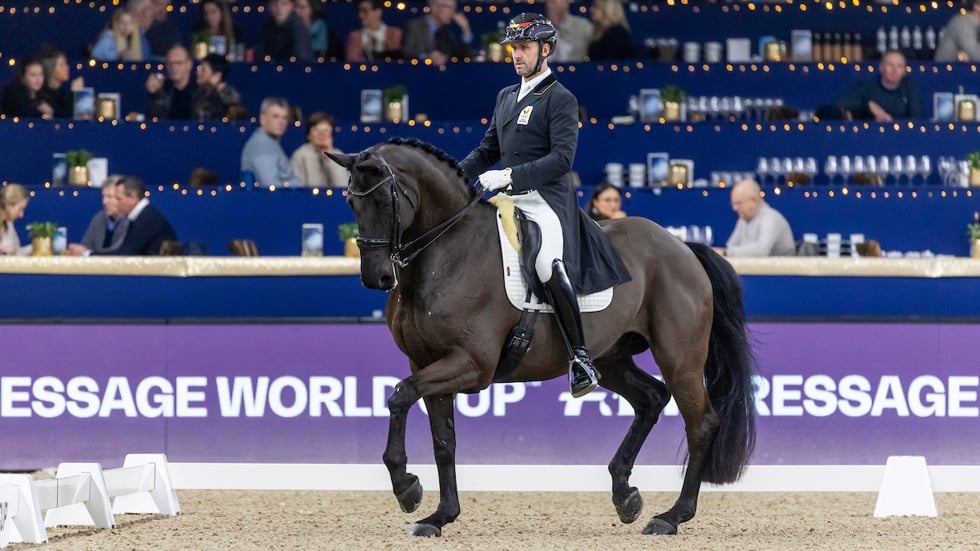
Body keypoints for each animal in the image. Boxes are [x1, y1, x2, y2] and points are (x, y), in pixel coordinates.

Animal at [326, 138, 756, 540]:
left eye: (383, 199)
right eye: (350, 201)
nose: (377, 277)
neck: (447, 252)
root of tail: (682, 247)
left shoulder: (471, 364)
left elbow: (399, 396)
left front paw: (407, 489)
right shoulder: (426, 363)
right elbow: (442, 439)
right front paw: (439, 516)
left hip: (679, 358)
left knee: (700, 423)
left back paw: (672, 516)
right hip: (611, 357)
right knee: (650, 398)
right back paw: (625, 495)